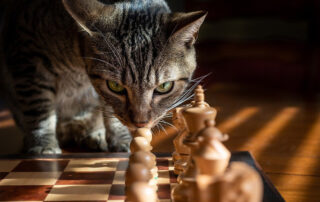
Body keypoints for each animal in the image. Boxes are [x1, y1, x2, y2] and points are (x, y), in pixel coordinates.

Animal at [0, 0, 208, 154]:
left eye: (164, 87)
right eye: (115, 86)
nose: (140, 123)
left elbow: (110, 111)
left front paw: (120, 139)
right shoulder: (27, 56)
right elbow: (39, 109)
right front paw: (43, 145)